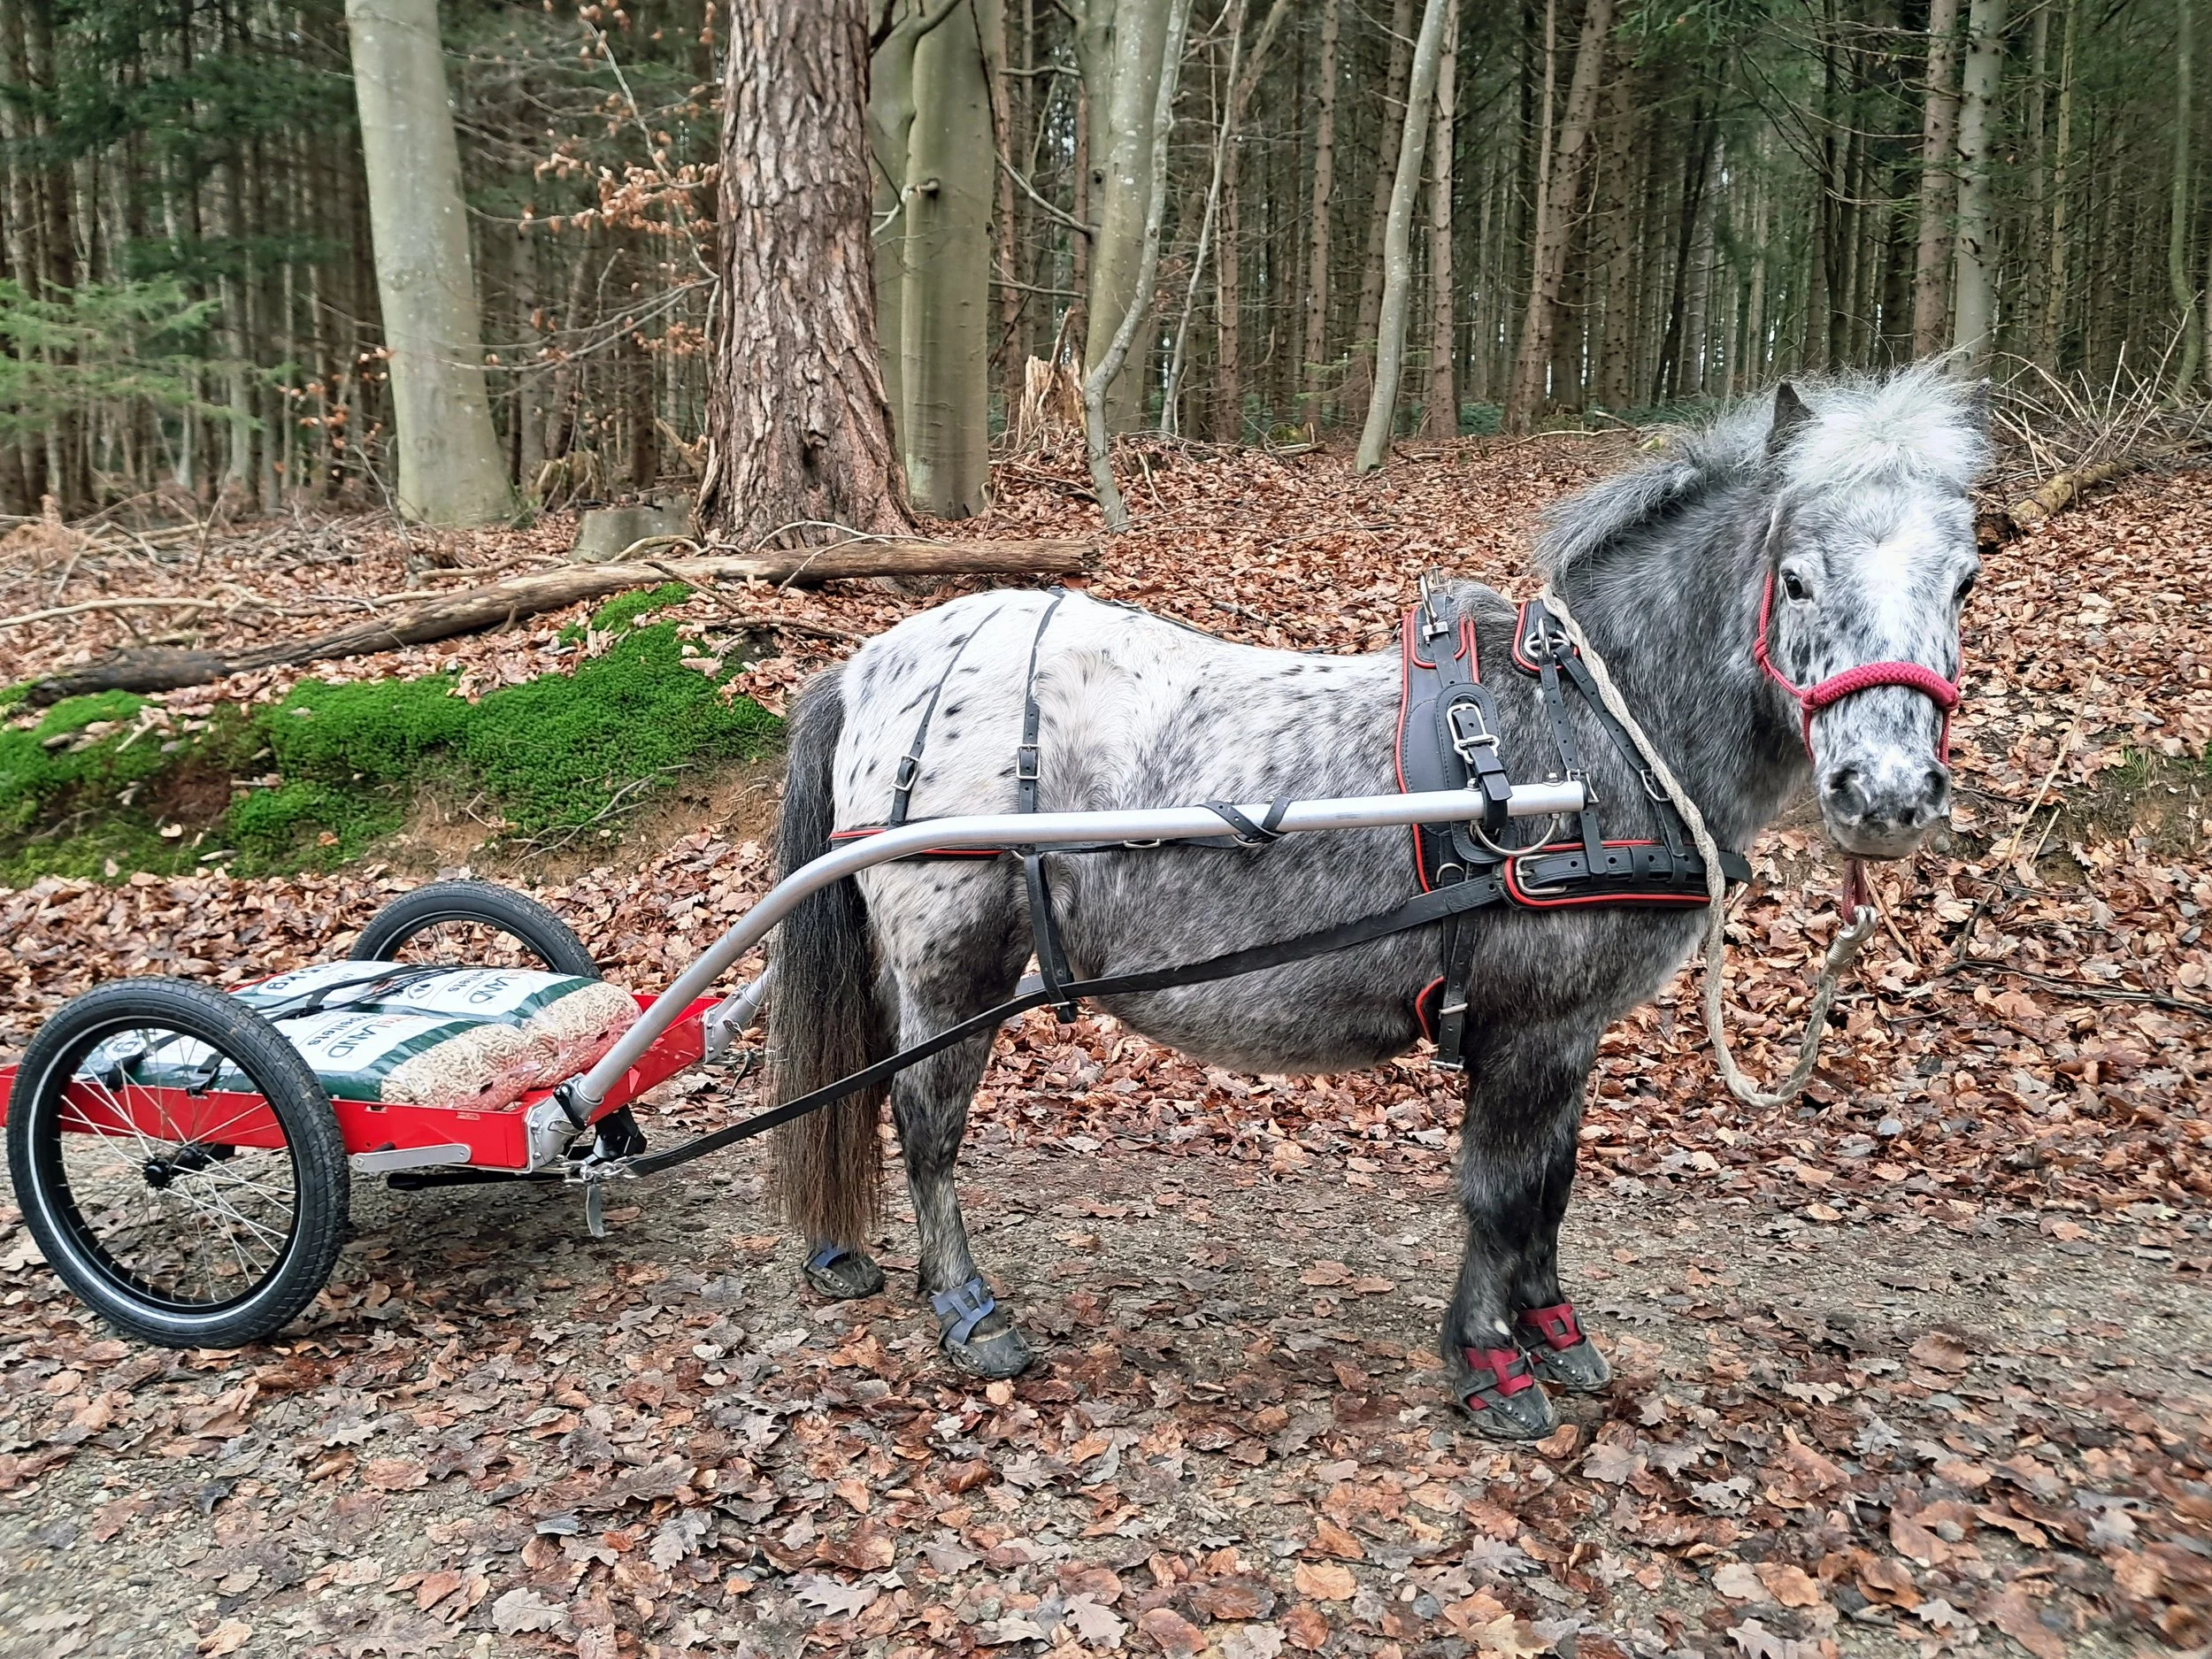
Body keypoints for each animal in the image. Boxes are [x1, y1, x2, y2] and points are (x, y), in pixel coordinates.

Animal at [762, 366, 1985, 1438]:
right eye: (1798, 580)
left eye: (1964, 580)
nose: (1886, 795)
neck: (1595, 734)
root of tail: (869, 665)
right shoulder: (1531, 1022)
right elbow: (1501, 1192)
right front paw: (1491, 1366)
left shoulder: (1571, 1028)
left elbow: (1552, 1184)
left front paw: (1553, 1330)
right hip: (956, 960)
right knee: (926, 1121)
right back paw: (967, 1311)